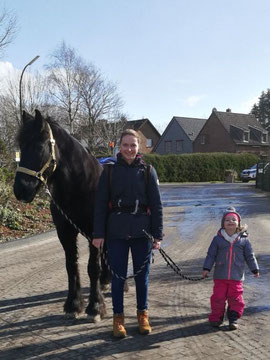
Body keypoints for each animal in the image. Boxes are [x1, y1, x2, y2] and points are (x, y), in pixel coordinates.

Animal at [13, 109, 108, 320]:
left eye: (39, 146)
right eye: (21, 147)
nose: (20, 189)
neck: (81, 186)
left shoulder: (94, 232)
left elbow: (92, 267)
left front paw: (95, 307)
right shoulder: (65, 232)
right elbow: (71, 265)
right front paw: (74, 305)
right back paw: (107, 281)